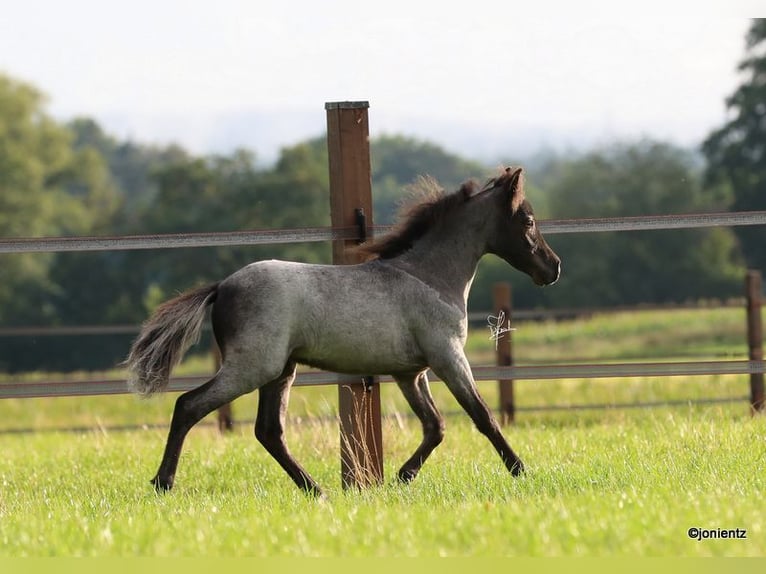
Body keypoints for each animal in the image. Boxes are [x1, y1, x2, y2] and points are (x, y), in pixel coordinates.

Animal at [124, 168, 560, 500]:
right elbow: (482, 415)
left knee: (269, 431)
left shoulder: (410, 372)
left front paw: (402, 476)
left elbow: (435, 425)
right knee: (189, 405)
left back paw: (316, 490)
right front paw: (521, 470)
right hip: (252, 367)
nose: (553, 267)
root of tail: (222, 287)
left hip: (281, 371)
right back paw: (163, 483)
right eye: (528, 221)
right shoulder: (448, 356)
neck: (430, 276)